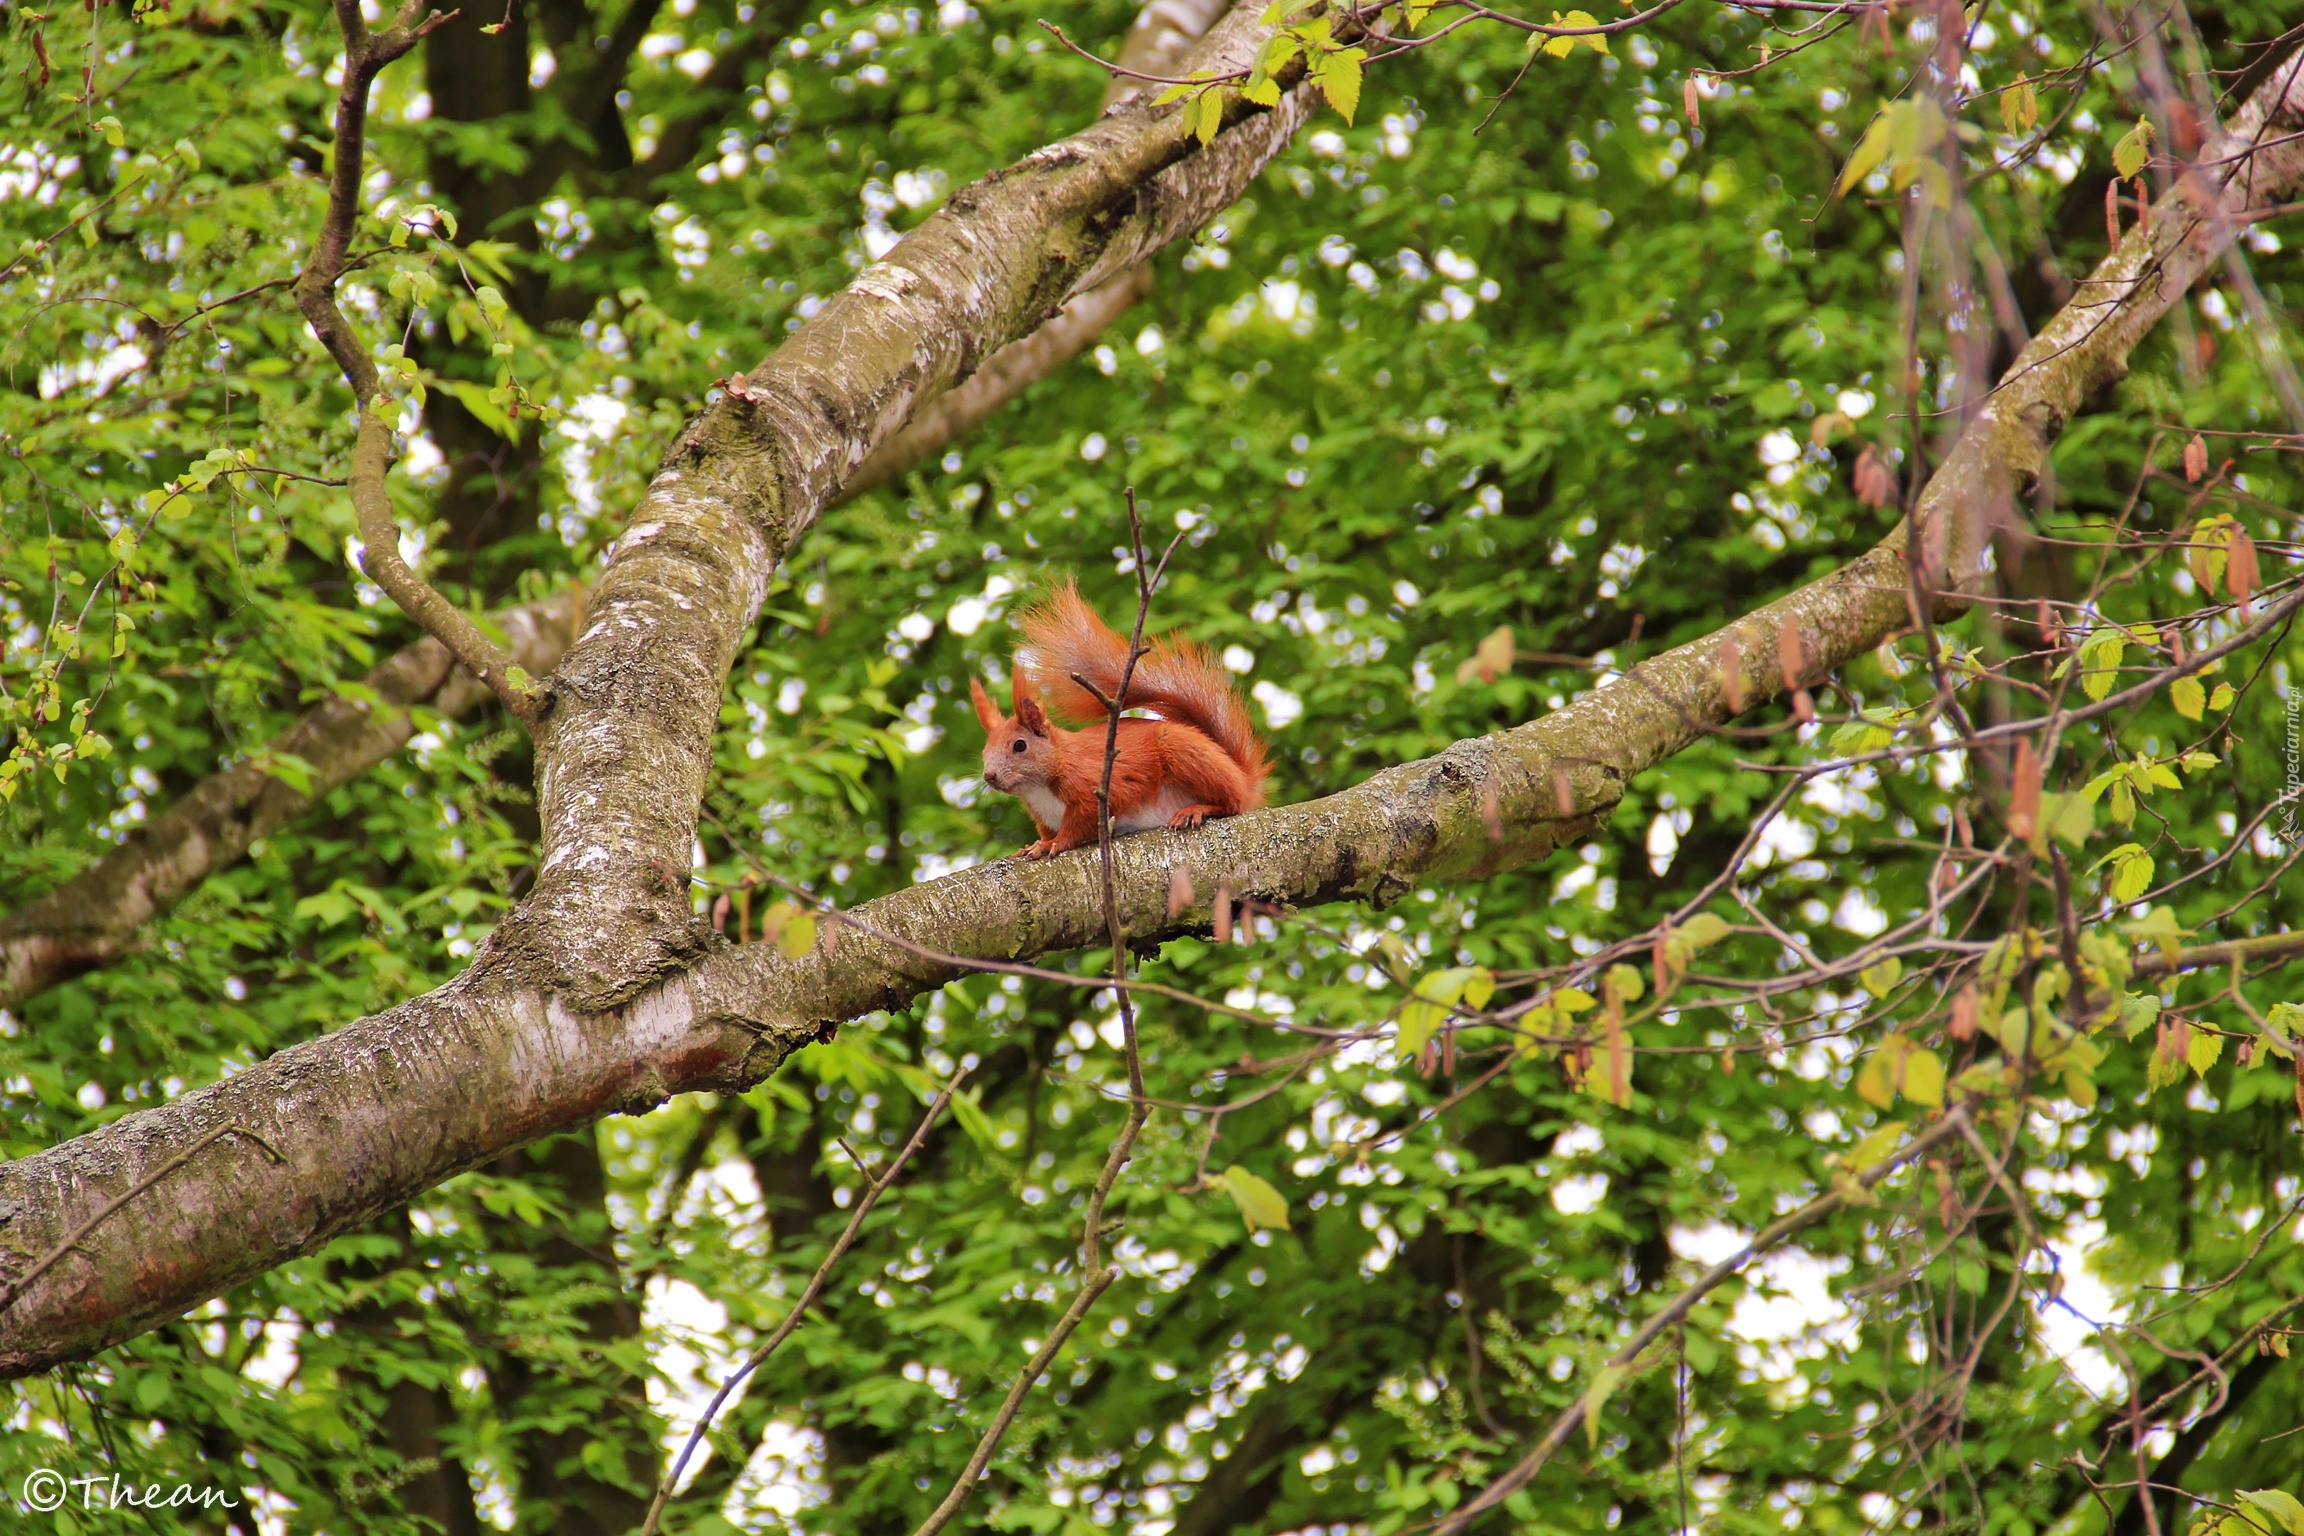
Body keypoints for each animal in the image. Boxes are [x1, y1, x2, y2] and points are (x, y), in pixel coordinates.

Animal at [963, 582, 1271, 861]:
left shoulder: (1096, 789)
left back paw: (1196, 809)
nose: (989, 776)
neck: (1041, 784)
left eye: (1019, 745)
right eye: (984, 751)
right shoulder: (1043, 816)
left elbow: (1079, 826)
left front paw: (1053, 844)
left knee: (1232, 803)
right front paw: (1033, 845)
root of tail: (1243, 778)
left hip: (1184, 751)